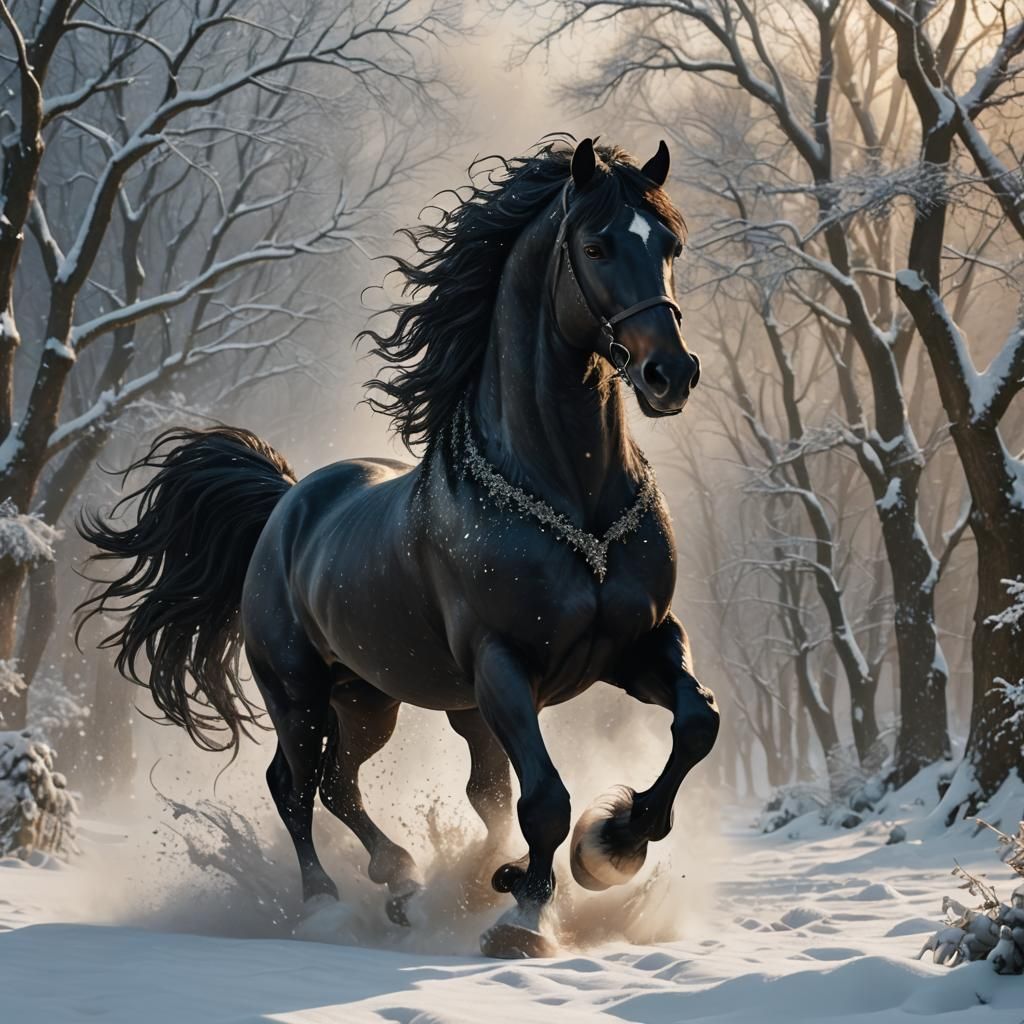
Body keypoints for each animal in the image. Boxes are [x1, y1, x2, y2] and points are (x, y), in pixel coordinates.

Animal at [78, 136, 720, 958]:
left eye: (670, 244)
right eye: (597, 246)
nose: (671, 373)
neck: (572, 497)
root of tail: (285, 502)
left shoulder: (639, 645)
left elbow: (696, 723)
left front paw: (610, 845)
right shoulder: (503, 667)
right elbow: (544, 798)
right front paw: (524, 916)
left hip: (371, 699)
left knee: (353, 783)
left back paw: (414, 880)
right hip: (299, 692)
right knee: (296, 786)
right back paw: (336, 905)